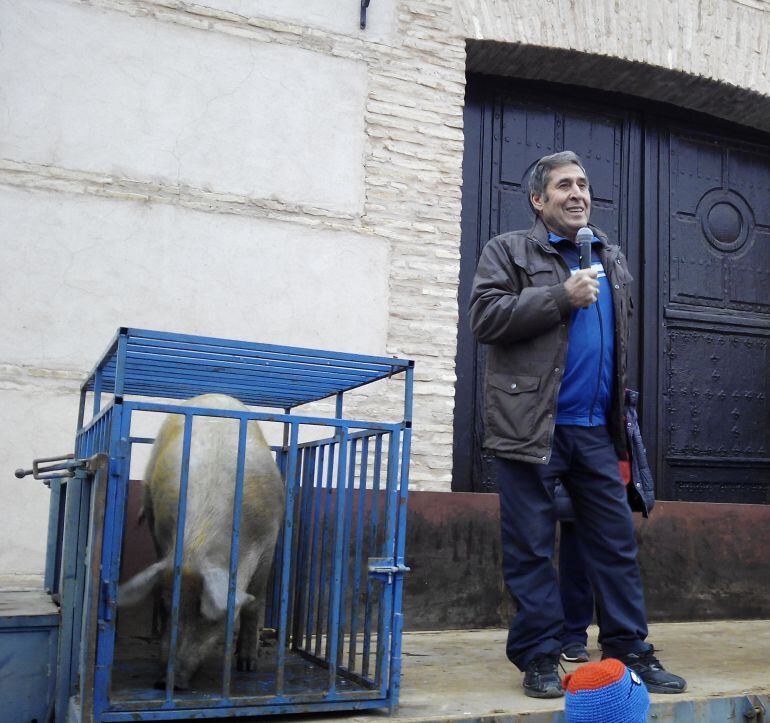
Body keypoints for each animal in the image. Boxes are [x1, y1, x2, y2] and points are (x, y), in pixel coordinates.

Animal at [118, 396, 286, 692]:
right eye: (167, 606)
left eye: (205, 614)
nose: (166, 682)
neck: (196, 546)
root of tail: (213, 395)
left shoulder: (269, 542)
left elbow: (254, 602)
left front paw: (247, 666)